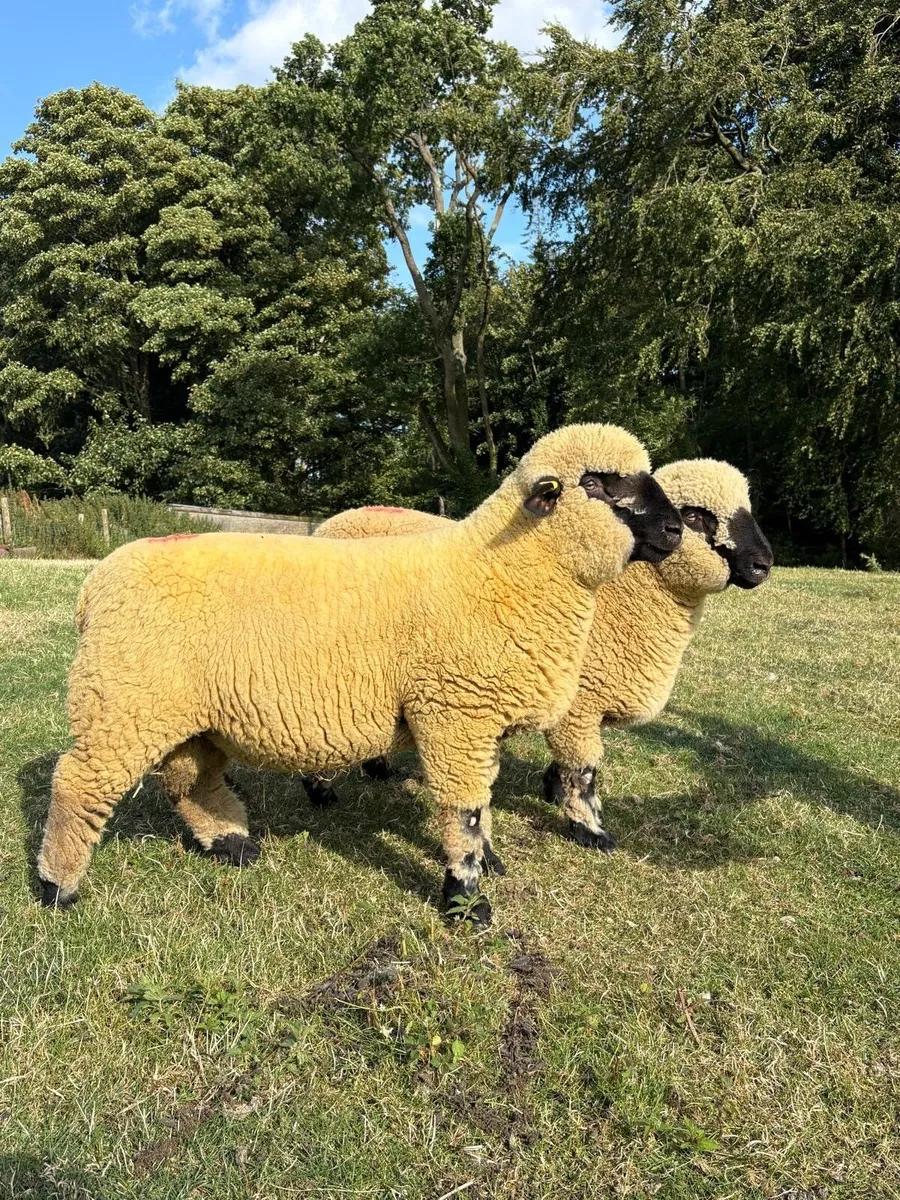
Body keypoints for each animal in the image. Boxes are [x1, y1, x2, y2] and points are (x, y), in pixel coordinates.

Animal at [37, 423, 684, 923]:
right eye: (596, 483)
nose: (676, 530)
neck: (499, 571)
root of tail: (95, 585)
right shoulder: (454, 715)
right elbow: (465, 810)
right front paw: (466, 902)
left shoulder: (480, 721)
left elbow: (484, 803)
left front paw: (489, 864)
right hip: (121, 700)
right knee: (78, 784)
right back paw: (55, 887)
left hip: (181, 709)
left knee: (189, 779)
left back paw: (233, 844)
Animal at [314, 458, 773, 852]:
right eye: (695, 516)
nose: (764, 564)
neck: (625, 597)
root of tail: (339, 519)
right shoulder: (580, 703)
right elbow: (583, 770)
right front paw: (587, 828)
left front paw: (552, 792)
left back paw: (376, 769)